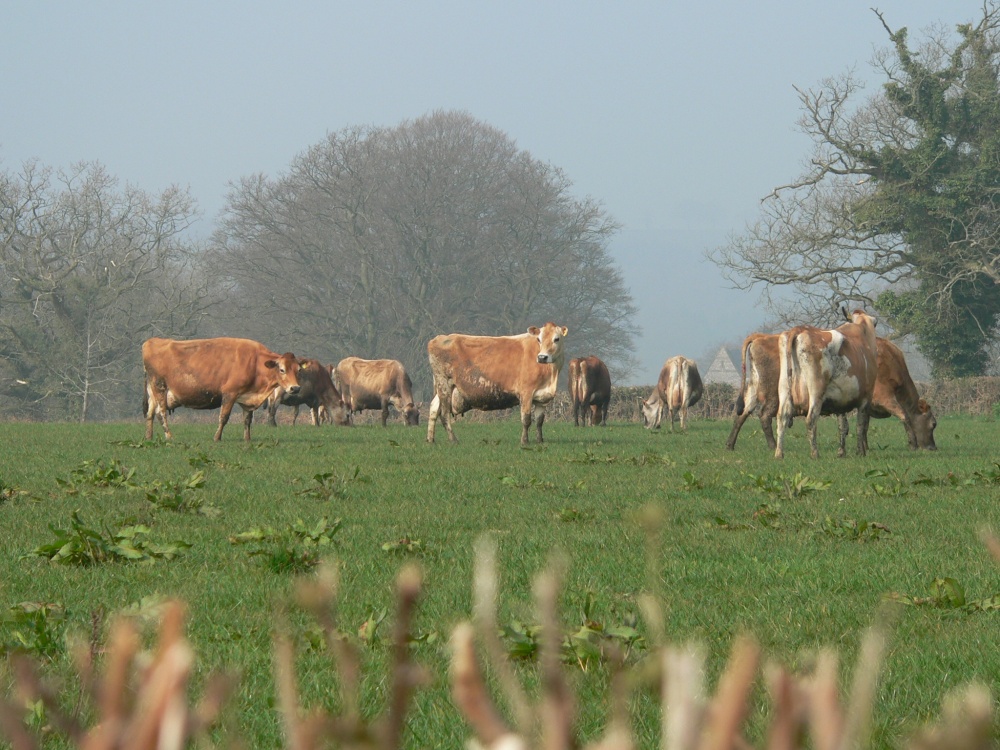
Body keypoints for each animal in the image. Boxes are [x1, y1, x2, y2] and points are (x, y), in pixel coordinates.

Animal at [142, 337, 306, 442]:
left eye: (298, 370)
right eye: (282, 369)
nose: (295, 388)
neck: (254, 362)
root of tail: (152, 341)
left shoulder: (247, 397)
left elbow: (247, 420)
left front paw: (247, 439)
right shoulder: (230, 393)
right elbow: (224, 417)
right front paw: (217, 438)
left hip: (153, 392)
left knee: (150, 414)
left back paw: (149, 437)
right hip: (160, 387)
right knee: (161, 413)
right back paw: (169, 437)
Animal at [426, 322, 568, 445]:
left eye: (556, 339)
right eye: (539, 339)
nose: (542, 357)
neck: (551, 375)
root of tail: (440, 338)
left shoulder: (542, 397)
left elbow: (539, 421)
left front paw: (540, 441)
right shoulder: (526, 393)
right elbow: (526, 419)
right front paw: (524, 441)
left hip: (442, 386)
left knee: (434, 409)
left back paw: (430, 440)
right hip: (444, 382)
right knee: (444, 414)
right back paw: (453, 440)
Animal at [775, 309, 878, 459]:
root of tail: (799, 329)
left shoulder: (840, 402)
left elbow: (843, 426)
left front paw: (841, 452)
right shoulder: (866, 398)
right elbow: (860, 426)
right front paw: (860, 452)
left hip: (784, 388)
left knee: (781, 417)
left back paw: (779, 454)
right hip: (816, 391)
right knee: (810, 419)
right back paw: (815, 453)